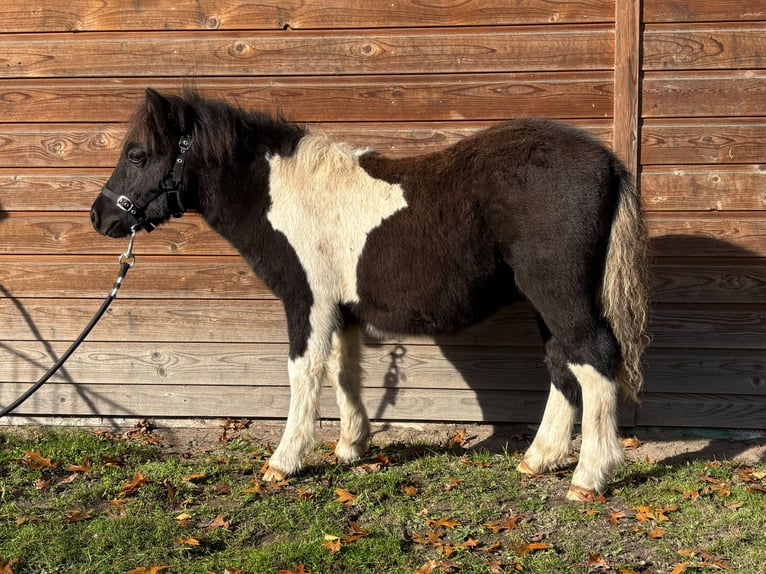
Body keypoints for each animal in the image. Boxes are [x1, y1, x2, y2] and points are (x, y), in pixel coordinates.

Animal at [90, 88, 649, 501]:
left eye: (138, 154)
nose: (100, 217)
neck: (285, 194)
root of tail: (606, 162)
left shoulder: (307, 301)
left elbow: (304, 374)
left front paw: (283, 463)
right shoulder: (344, 309)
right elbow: (345, 371)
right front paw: (350, 447)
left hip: (559, 294)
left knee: (594, 357)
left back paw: (588, 477)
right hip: (545, 301)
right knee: (563, 361)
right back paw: (539, 459)